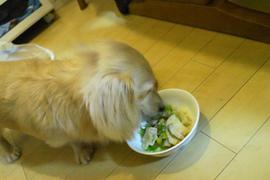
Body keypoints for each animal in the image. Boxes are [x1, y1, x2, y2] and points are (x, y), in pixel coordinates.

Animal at [0, 41, 165, 165]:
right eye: (148, 91)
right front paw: (83, 153)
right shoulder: (63, 131)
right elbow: (75, 141)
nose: (163, 107)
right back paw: (10, 153)